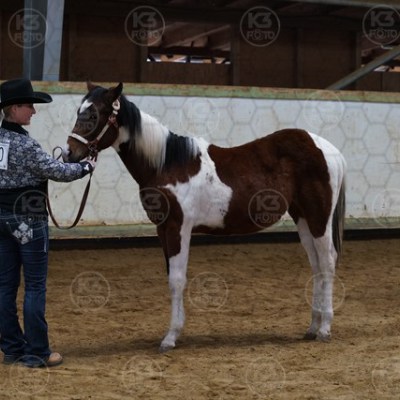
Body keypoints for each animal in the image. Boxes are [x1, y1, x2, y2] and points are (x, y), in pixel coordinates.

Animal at [62, 82, 346, 352]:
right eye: (78, 111)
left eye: (94, 114)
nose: (68, 153)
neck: (167, 163)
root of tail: (329, 149)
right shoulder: (162, 229)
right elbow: (171, 277)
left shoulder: (178, 228)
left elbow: (177, 280)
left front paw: (170, 337)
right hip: (303, 218)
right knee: (316, 265)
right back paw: (312, 327)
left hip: (319, 218)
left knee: (327, 262)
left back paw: (324, 329)